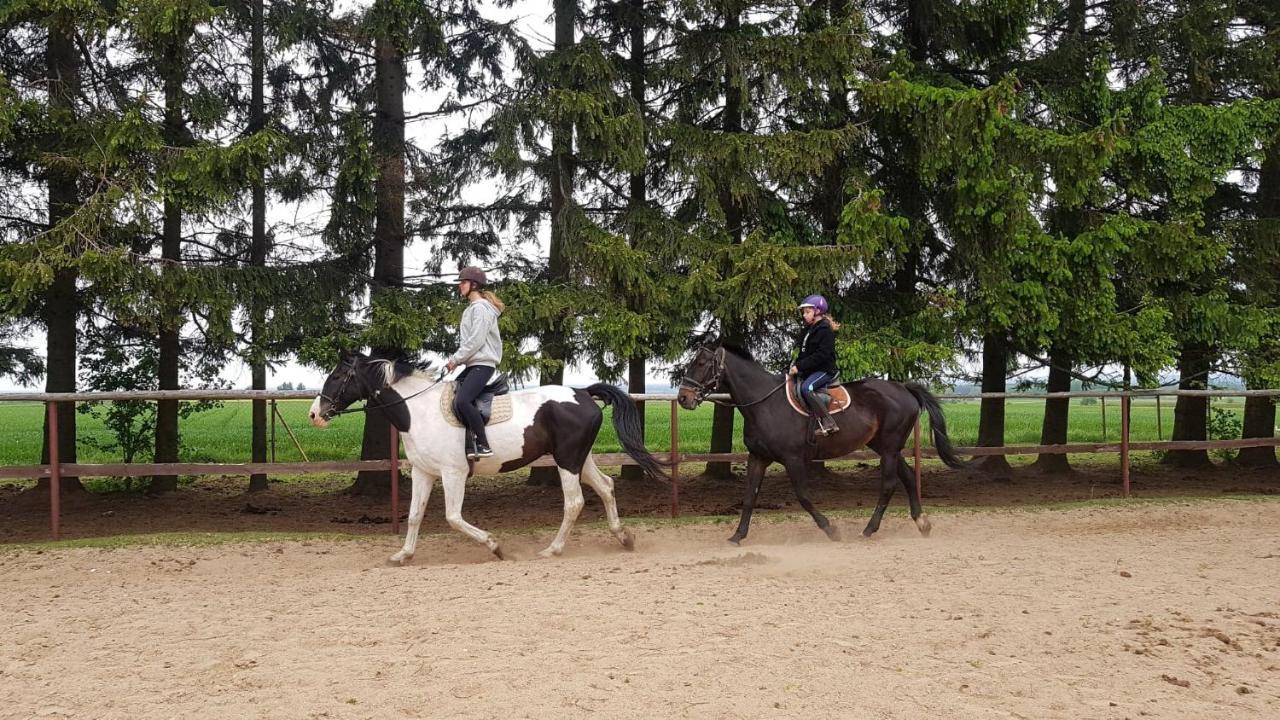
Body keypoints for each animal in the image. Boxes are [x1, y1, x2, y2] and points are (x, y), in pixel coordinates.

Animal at [312, 348, 670, 561]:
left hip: (567, 461)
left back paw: (552, 549)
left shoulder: (453, 474)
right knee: (606, 486)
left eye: (337, 376)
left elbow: (453, 518)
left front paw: (496, 546)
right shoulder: (423, 472)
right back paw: (624, 538)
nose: (315, 414)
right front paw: (404, 555)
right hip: (579, 459)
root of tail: (581, 393)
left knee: (575, 502)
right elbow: (414, 515)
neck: (419, 410)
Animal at [680, 340, 962, 538]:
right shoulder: (758, 457)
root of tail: (904, 388)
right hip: (885, 447)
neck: (765, 403)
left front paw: (831, 529)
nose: (683, 398)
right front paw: (738, 536)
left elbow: (803, 496)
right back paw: (922, 523)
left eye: (702, 364)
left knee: (889, 485)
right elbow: (749, 496)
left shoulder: (793, 459)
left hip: (890, 447)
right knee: (908, 478)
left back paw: (869, 530)